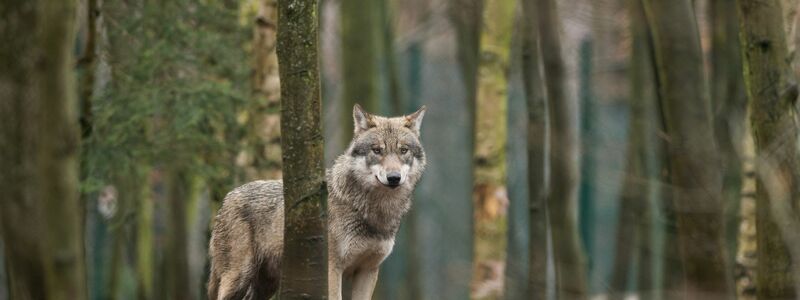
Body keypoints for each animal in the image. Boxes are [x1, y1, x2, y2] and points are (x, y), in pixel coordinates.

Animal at [209, 104, 428, 298]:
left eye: (403, 150)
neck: (372, 210)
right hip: (238, 278)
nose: (394, 177)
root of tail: (227, 197)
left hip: (265, 285)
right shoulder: (332, 269)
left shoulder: (368, 270)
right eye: (377, 150)